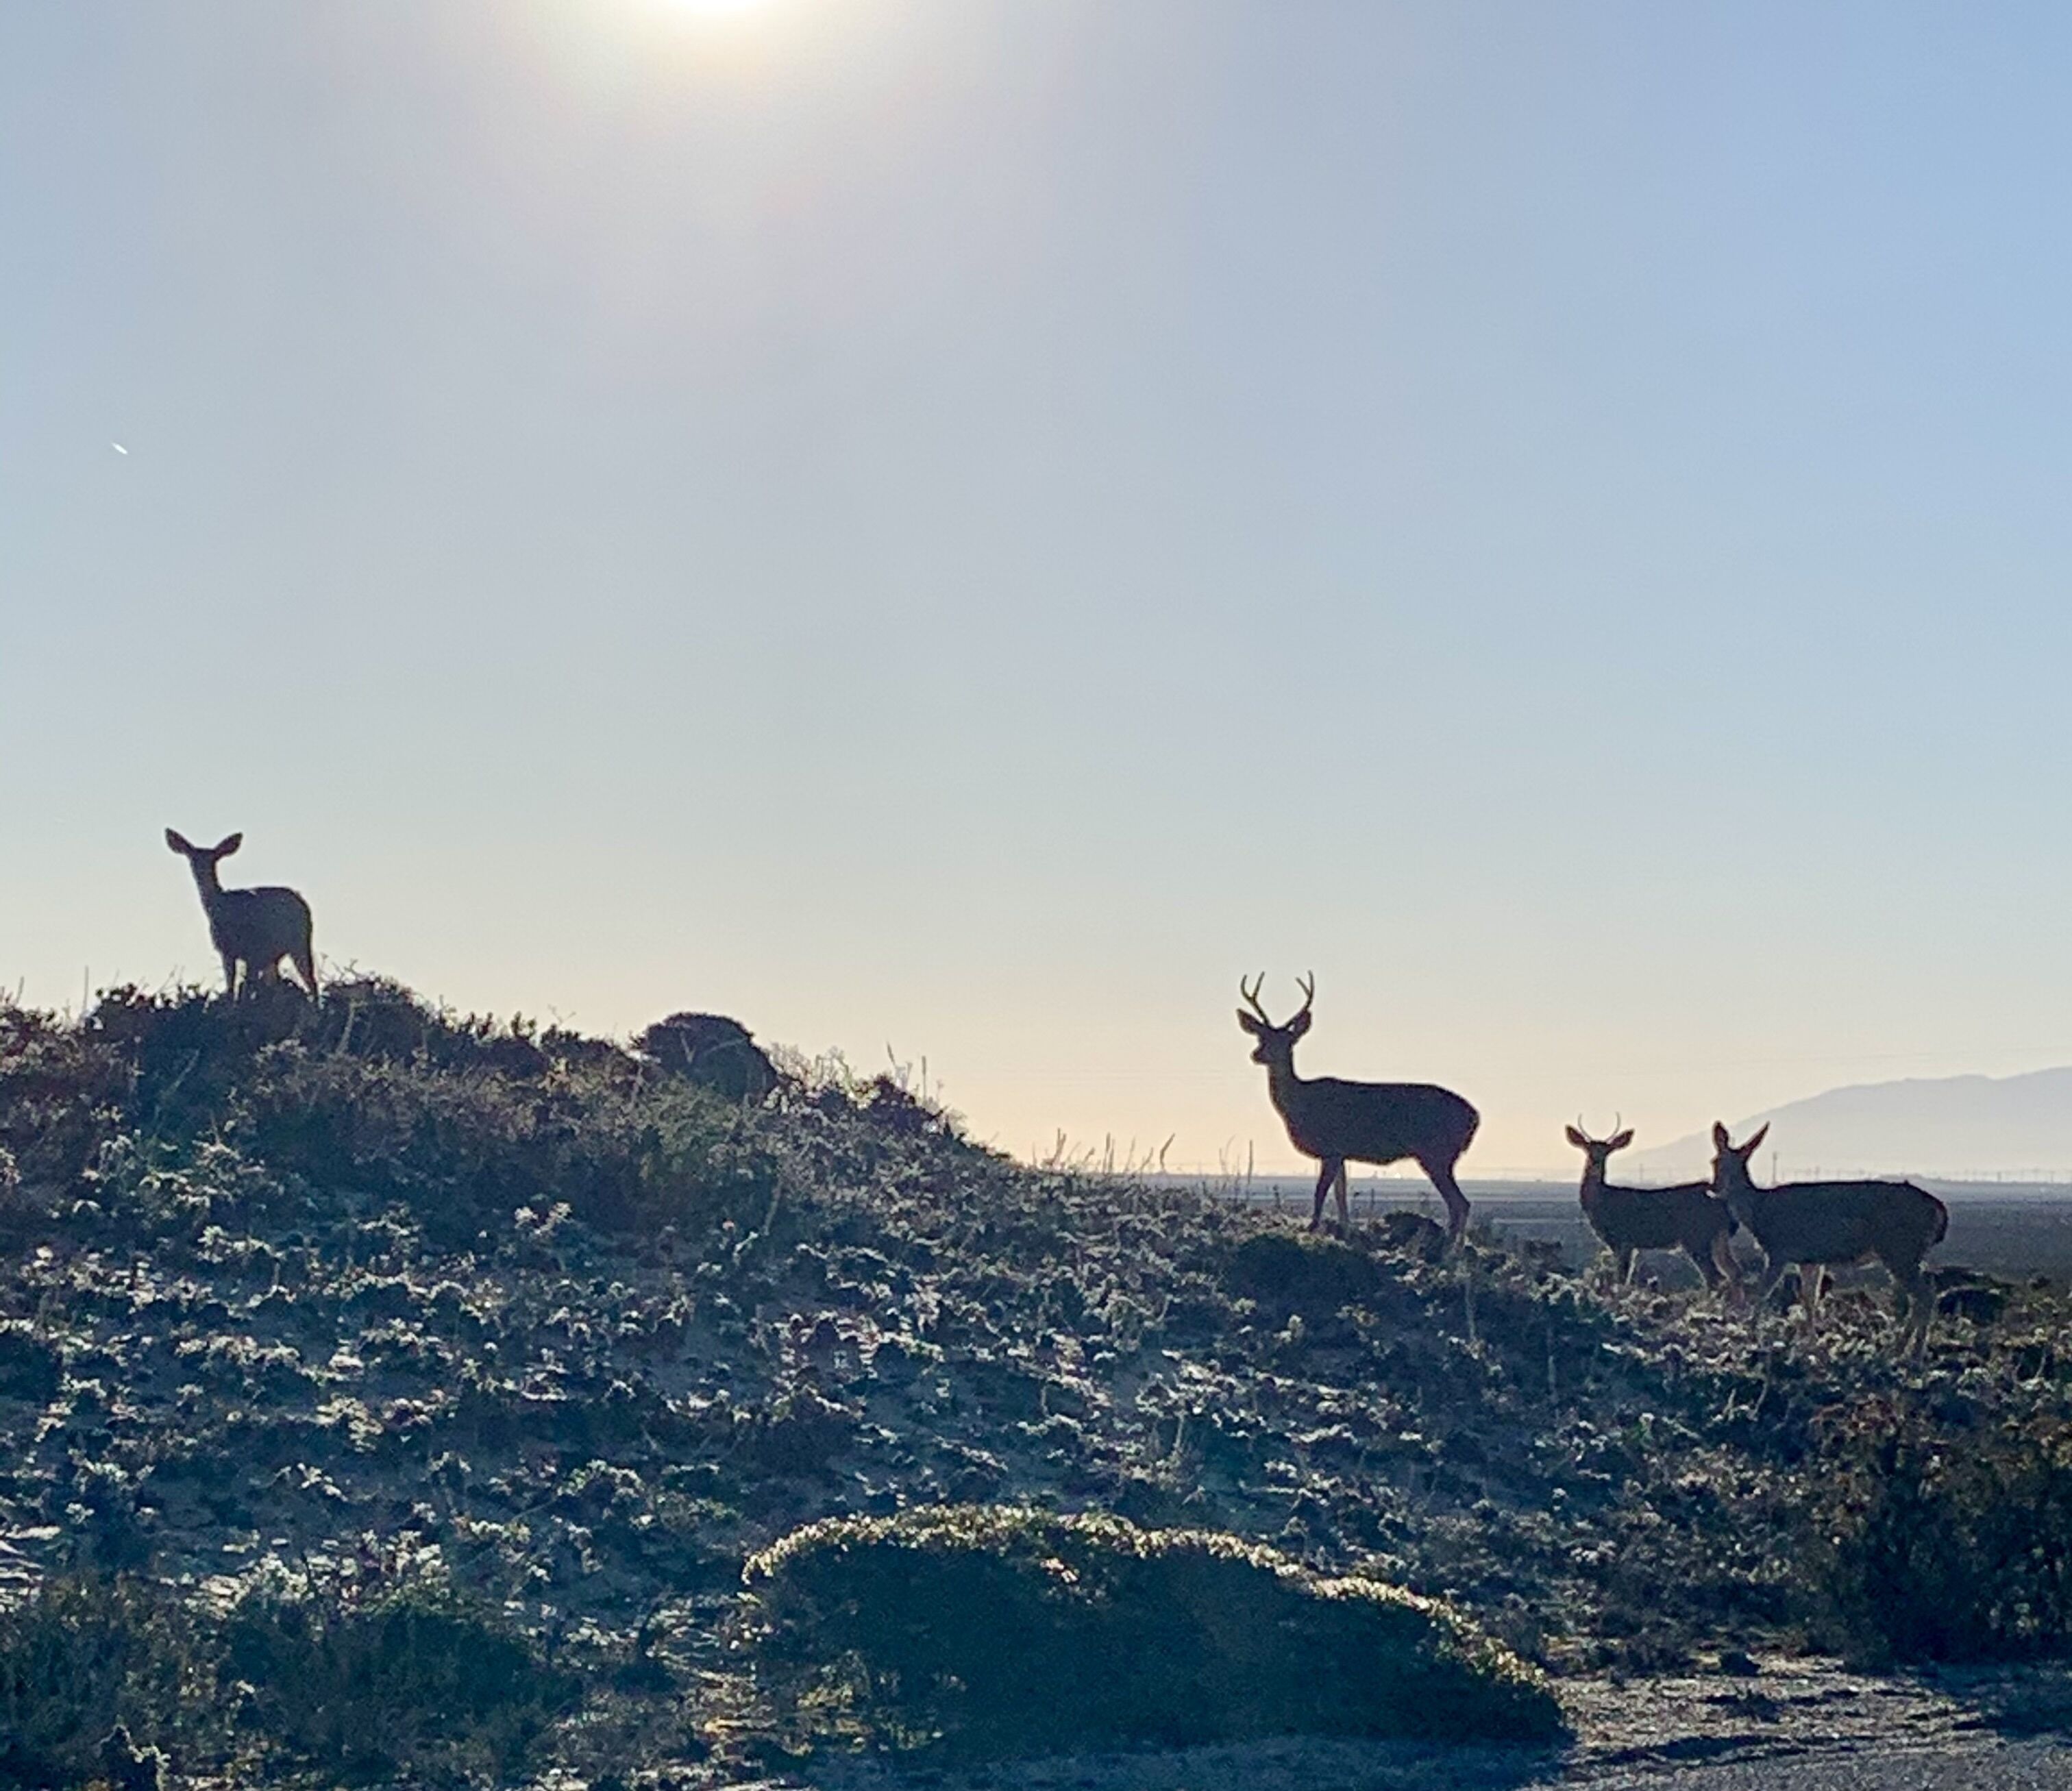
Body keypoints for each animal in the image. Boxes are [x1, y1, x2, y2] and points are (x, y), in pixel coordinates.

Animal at [165, 829, 318, 1001]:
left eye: (213, 860)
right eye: (192, 859)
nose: (200, 872)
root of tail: (303, 902)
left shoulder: (250, 950)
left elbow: (242, 992)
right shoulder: (227, 951)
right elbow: (231, 989)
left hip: (299, 942)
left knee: (311, 981)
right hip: (274, 953)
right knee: (277, 984)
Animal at [1236, 974, 1479, 1242]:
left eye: (1289, 1042)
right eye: (1261, 1038)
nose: (1257, 1054)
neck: (1300, 1104)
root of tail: (1474, 1117)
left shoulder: (1331, 1148)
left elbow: (1321, 1192)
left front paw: (1312, 1227)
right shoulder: (1341, 1153)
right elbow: (1341, 1195)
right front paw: (1345, 1230)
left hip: (1436, 1153)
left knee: (1460, 1204)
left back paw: (1449, 1249)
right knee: (1460, 1205)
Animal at [1565, 1120, 1741, 1298]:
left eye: (1607, 1152)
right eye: (1587, 1149)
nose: (1595, 1162)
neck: (1602, 1202)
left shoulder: (1624, 1239)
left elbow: (1622, 1278)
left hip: (1697, 1237)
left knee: (1715, 1277)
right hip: (1716, 1237)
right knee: (1732, 1271)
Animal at [1709, 1121, 1948, 1355]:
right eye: (1715, 1161)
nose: (1715, 1188)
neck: (1758, 1211)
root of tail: (1940, 1212)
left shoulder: (1779, 1250)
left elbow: (1762, 1292)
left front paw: (1749, 1333)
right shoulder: (1809, 1260)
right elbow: (1809, 1298)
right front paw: (1811, 1342)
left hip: (1899, 1249)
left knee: (1924, 1295)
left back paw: (1910, 1353)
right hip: (1909, 1252)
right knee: (1924, 1293)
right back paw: (1903, 1349)